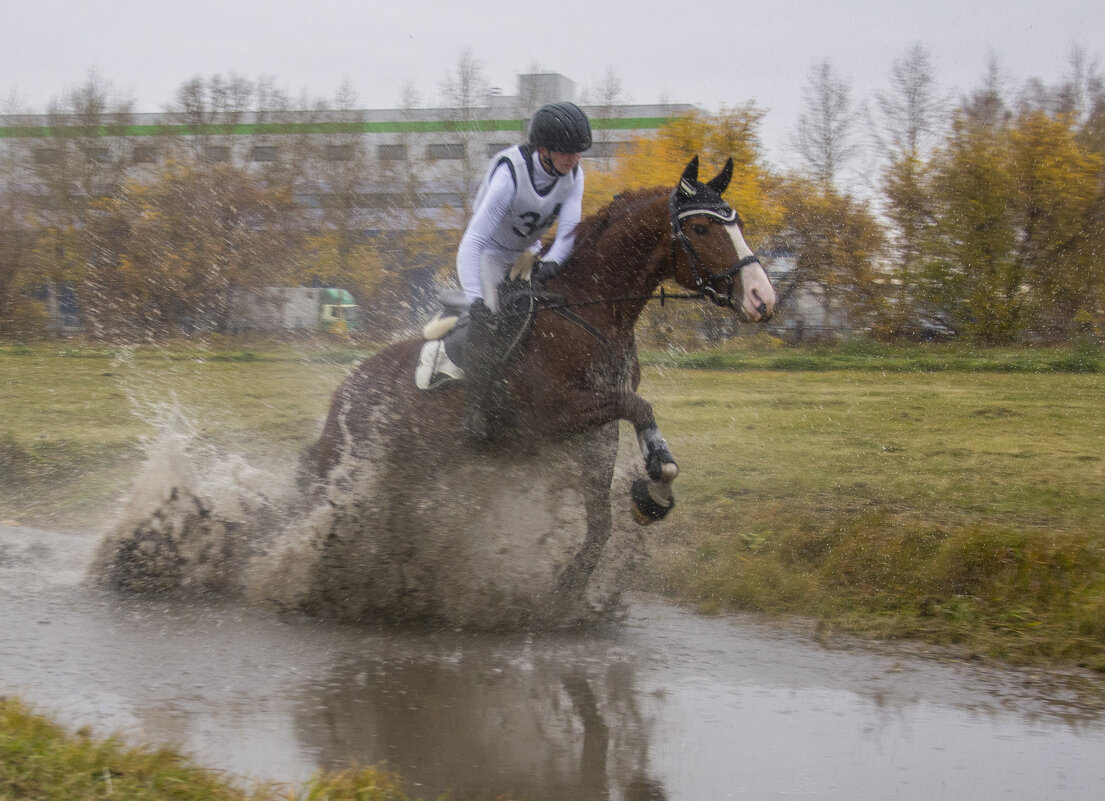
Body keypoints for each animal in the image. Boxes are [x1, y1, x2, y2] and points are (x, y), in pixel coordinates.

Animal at [298, 155, 773, 627]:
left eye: (737, 222)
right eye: (701, 228)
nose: (762, 298)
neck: (587, 312)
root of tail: (343, 393)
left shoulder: (595, 429)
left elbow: (602, 517)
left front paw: (579, 579)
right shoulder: (550, 415)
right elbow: (639, 406)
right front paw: (656, 483)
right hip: (357, 469)